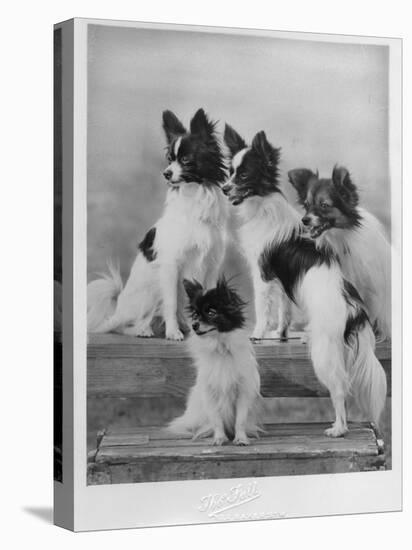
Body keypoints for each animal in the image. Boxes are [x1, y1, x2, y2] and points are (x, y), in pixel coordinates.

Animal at [87, 108, 229, 340]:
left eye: (186, 159)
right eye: (169, 159)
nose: (166, 173)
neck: (194, 197)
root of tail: (118, 307)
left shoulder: (211, 264)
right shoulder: (171, 266)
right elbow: (171, 303)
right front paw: (173, 333)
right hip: (149, 290)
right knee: (123, 325)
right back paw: (144, 330)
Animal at [169, 278, 262, 446]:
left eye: (211, 313)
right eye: (196, 314)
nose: (194, 325)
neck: (221, 347)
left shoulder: (243, 392)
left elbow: (240, 420)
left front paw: (241, 438)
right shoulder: (210, 394)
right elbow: (216, 420)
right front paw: (219, 438)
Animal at [222, 126, 386, 440]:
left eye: (244, 176)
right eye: (229, 171)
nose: (224, 188)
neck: (262, 207)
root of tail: (353, 307)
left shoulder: (262, 274)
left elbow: (262, 309)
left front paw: (257, 334)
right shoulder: (284, 282)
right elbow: (284, 311)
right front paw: (280, 334)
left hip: (324, 353)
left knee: (339, 389)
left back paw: (339, 429)